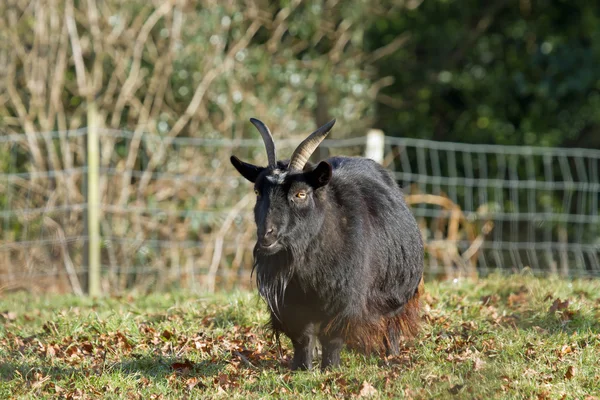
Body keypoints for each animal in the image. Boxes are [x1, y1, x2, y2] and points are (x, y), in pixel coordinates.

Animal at [229, 117, 422, 370]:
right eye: (257, 191)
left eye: (301, 194)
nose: (267, 234)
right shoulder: (290, 303)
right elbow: (303, 337)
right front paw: (301, 367)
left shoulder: (345, 297)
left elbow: (333, 336)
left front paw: (330, 368)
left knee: (391, 325)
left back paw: (392, 355)